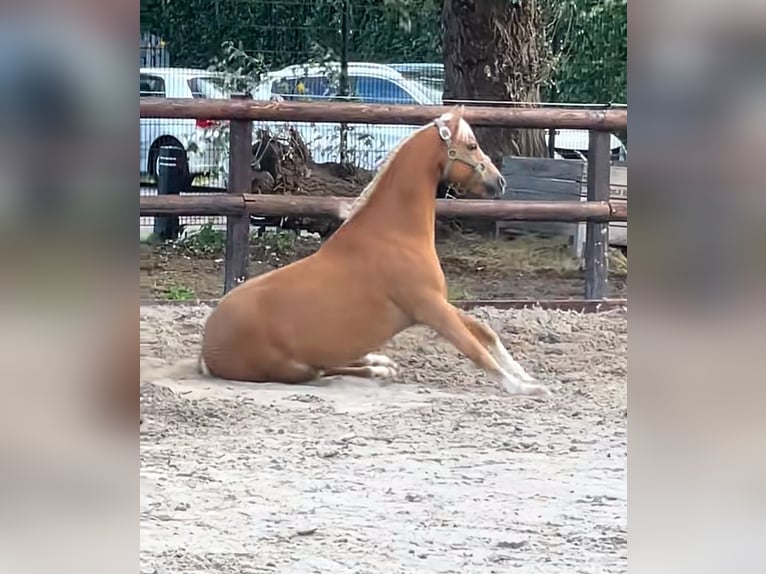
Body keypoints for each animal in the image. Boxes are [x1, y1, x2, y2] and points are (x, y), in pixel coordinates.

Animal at [198, 105, 551, 397]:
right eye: (472, 145)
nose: (499, 181)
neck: (394, 234)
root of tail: (206, 350)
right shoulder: (430, 307)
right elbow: (473, 348)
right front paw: (525, 389)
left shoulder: (436, 303)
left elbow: (486, 332)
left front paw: (527, 377)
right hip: (294, 369)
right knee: (324, 370)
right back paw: (377, 366)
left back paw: (379, 363)